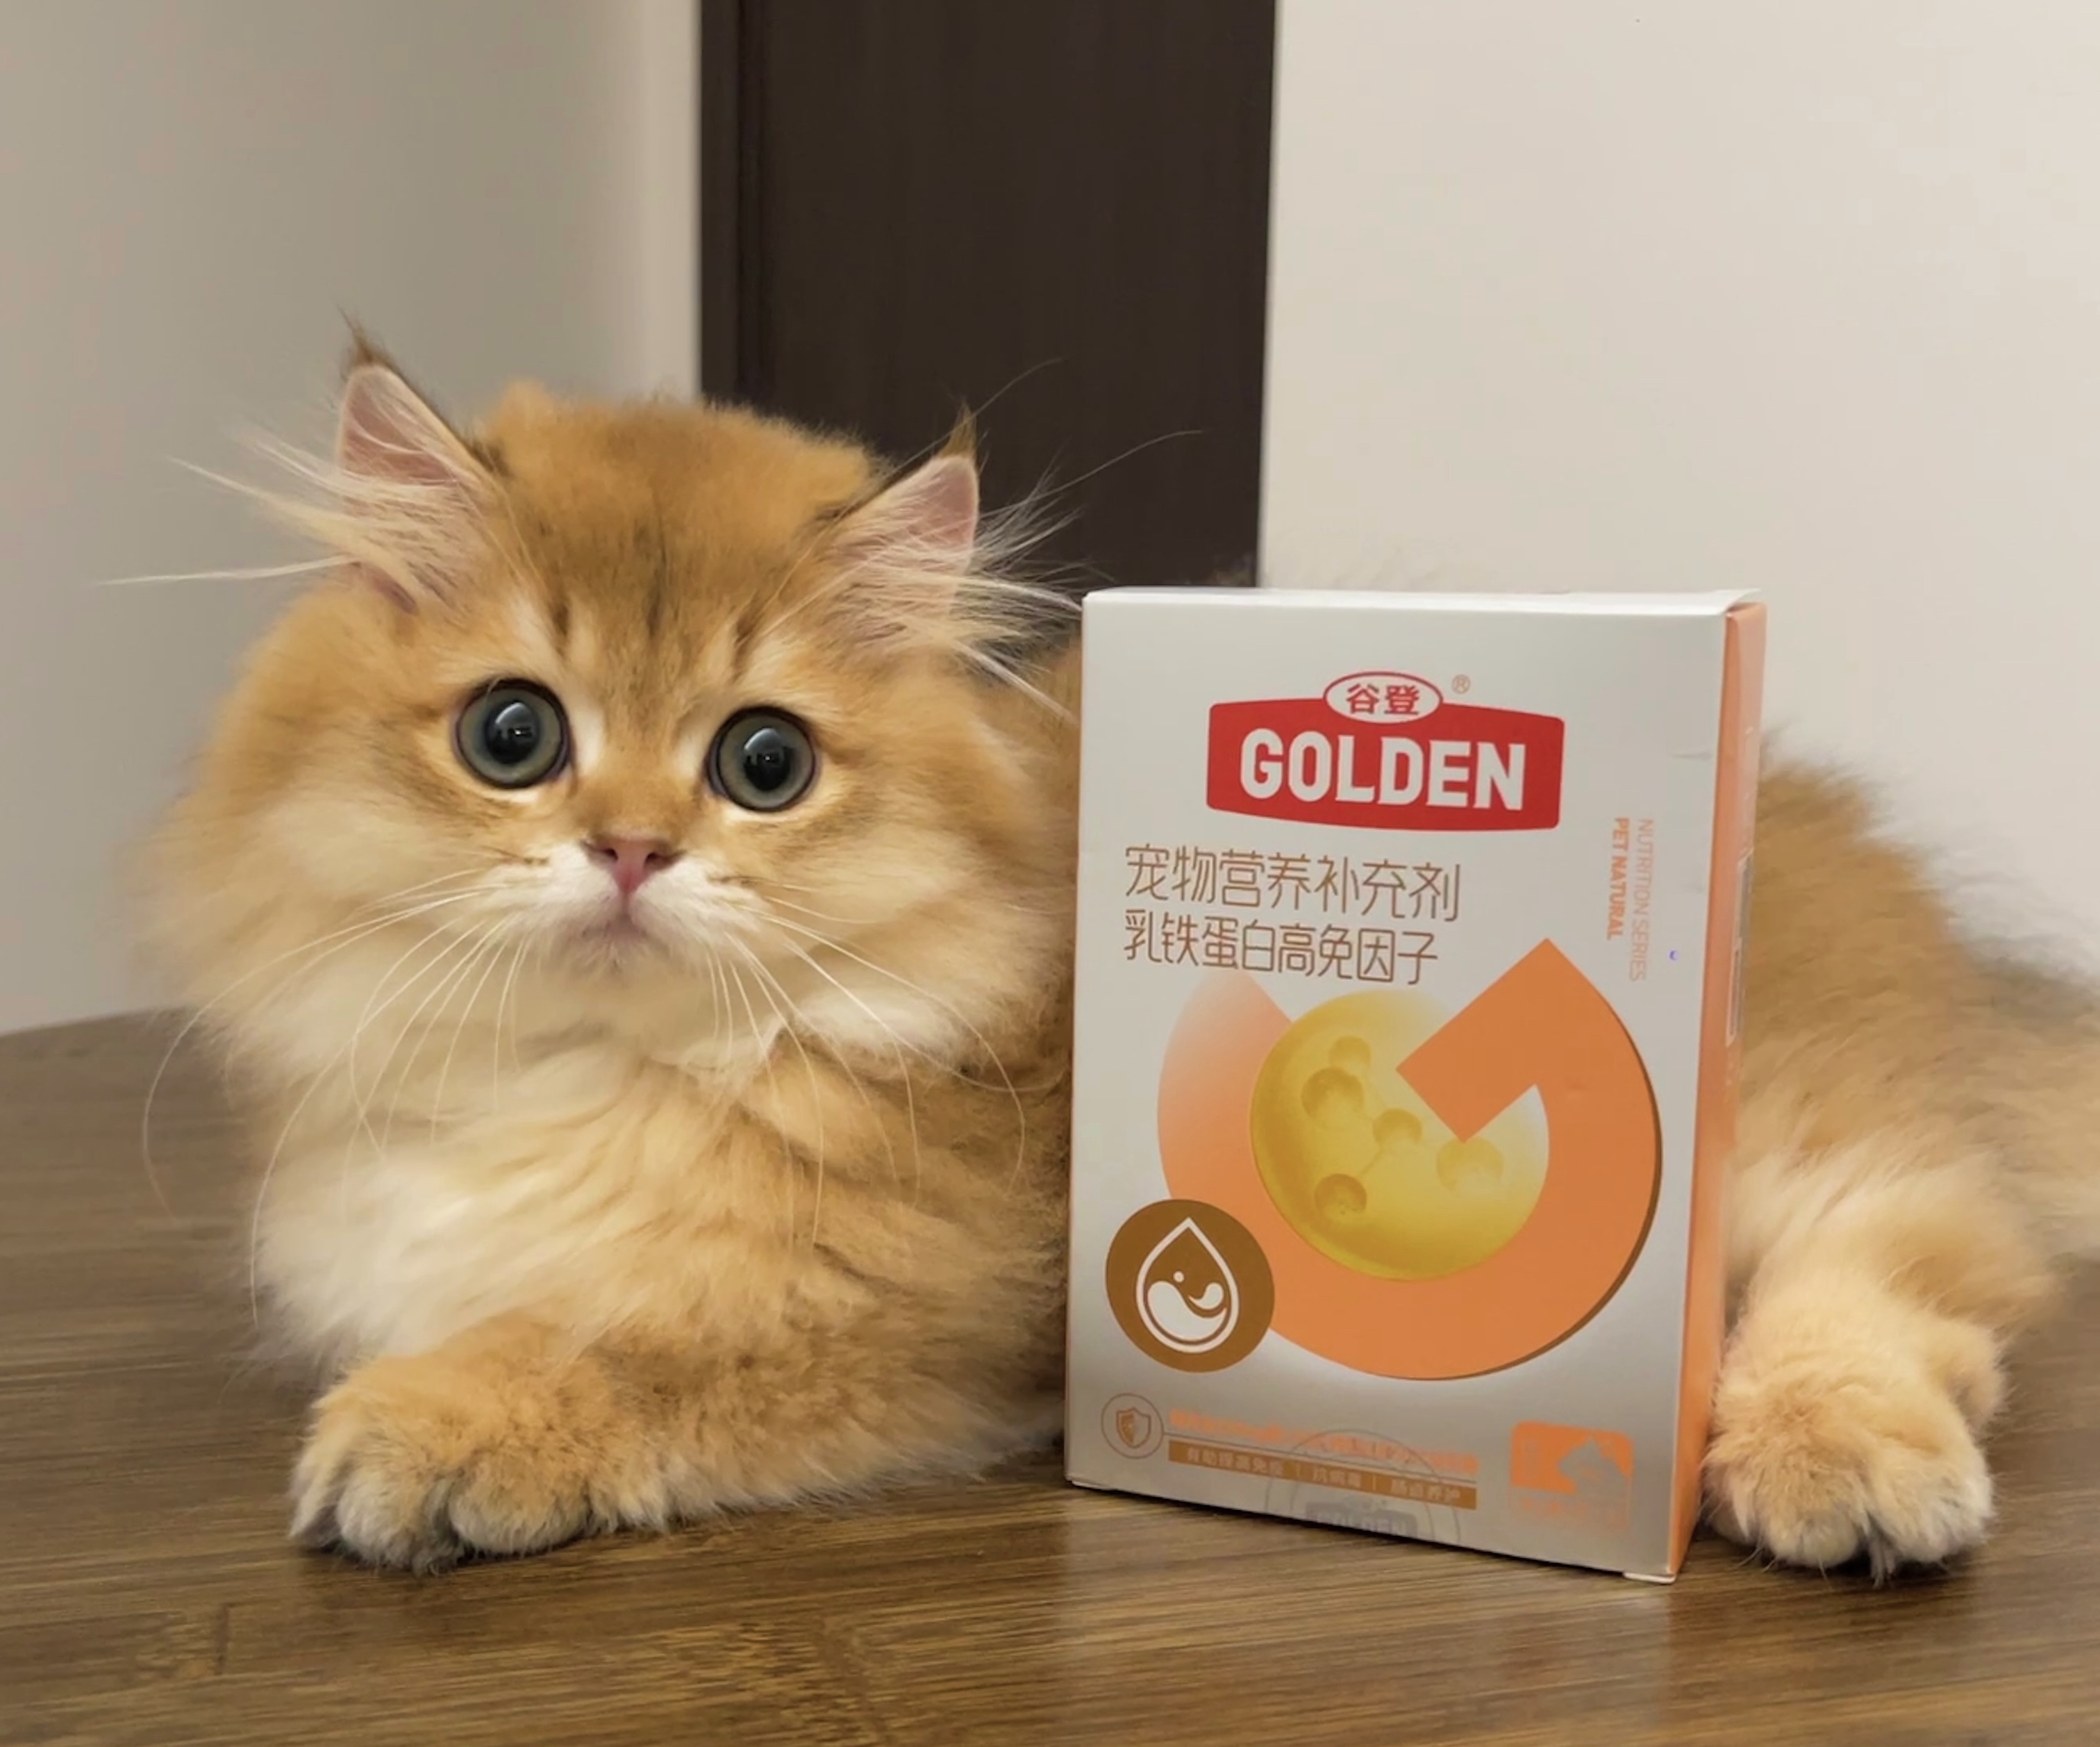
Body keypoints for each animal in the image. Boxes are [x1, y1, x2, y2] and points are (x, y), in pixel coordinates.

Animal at [147, 341, 2096, 1575]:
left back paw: (1837, 1464)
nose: (631, 849)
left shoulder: (911, 1319)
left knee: (1923, 1267)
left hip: (1780, 1135)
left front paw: (438, 1429)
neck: (605, 1075)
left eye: (763, 764)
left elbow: (614, 1345)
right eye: (513, 735)